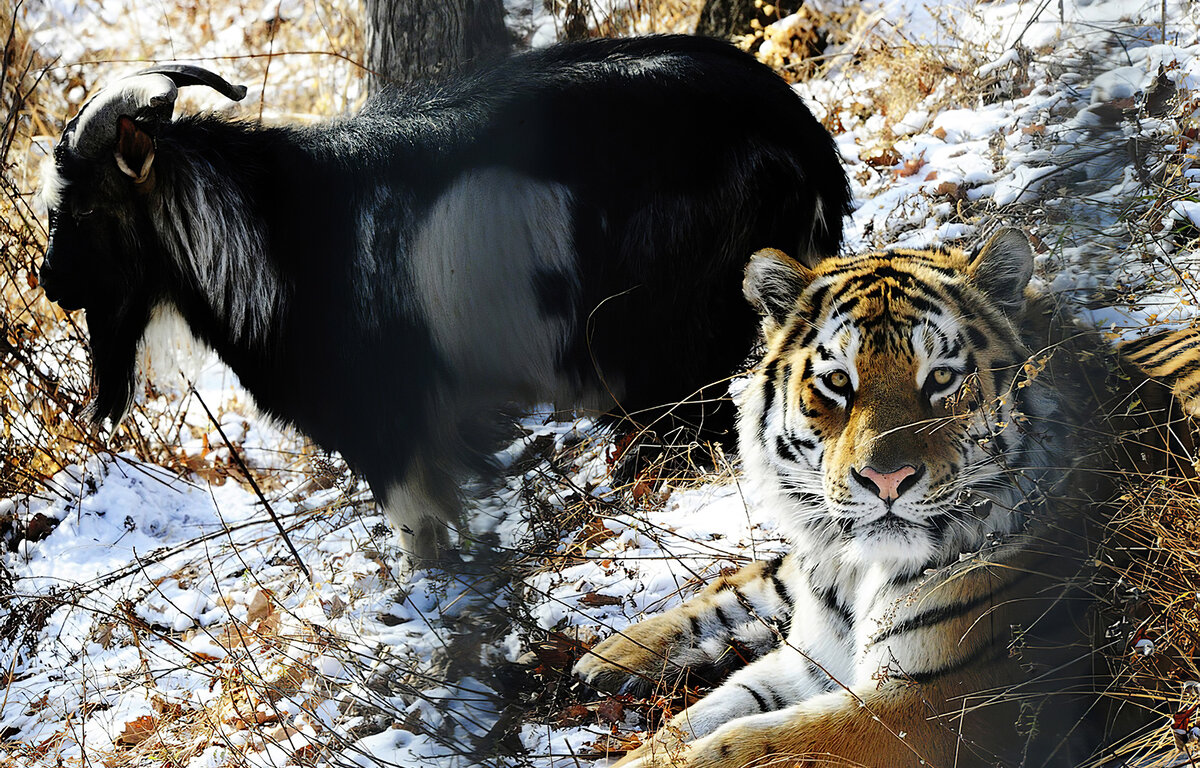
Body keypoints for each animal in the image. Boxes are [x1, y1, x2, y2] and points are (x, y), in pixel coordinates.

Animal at [37, 36, 849, 561]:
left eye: (83, 211)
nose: (51, 285)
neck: (275, 238)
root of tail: (802, 138)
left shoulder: (389, 426)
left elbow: (419, 534)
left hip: (668, 334)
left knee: (692, 427)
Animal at [571, 230, 1171, 768]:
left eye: (942, 378)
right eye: (838, 382)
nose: (886, 480)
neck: (861, 575)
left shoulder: (937, 707)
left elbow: (744, 743)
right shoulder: (811, 662)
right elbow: (694, 722)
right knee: (754, 582)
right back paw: (603, 657)